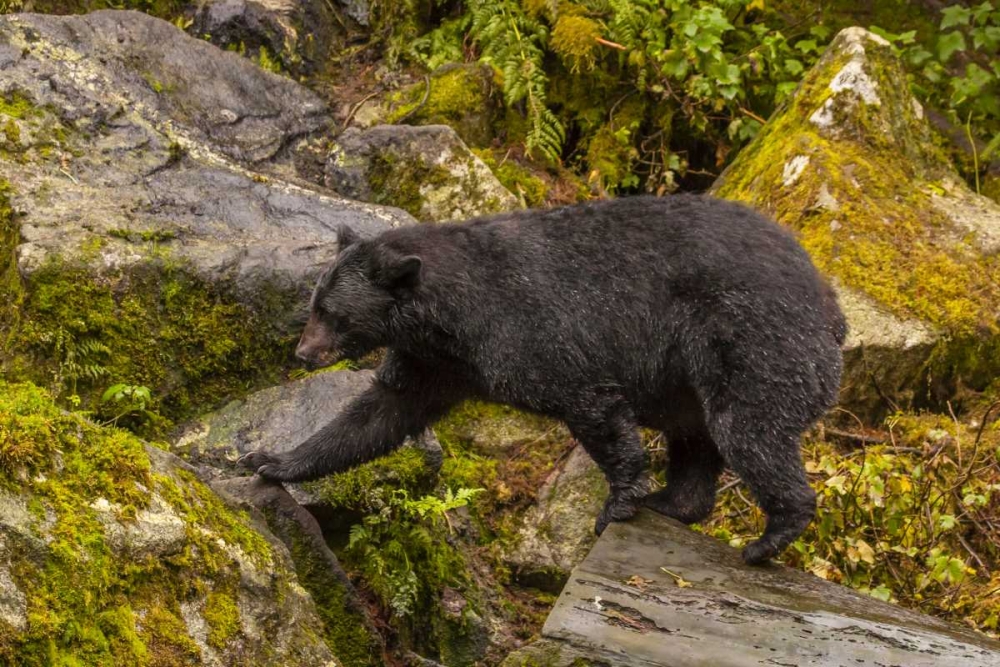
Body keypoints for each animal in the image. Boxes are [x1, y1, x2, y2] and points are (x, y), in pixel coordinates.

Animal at [240, 194, 846, 565]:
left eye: (334, 315)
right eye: (313, 305)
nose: (304, 353)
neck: (454, 317)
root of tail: (831, 304)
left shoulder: (537, 331)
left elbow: (591, 404)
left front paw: (618, 500)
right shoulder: (436, 364)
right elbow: (380, 414)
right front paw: (271, 460)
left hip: (754, 342)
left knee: (747, 429)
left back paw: (770, 535)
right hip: (694, 378)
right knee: (697, 438)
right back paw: (675, 503)